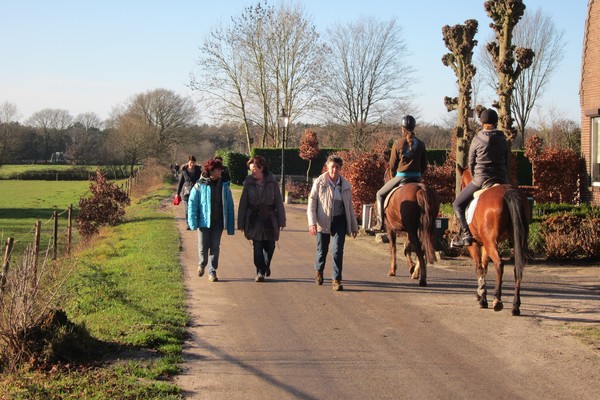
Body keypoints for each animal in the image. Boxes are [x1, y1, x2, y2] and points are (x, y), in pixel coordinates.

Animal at [460, 166, 528, 316]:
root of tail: (508, 191)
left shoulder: (474, 244)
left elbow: (479, 267)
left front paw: (482, 296)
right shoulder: (485, 244)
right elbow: (484, 266)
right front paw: (482, 296)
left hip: (490, 242)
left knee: (499, 263)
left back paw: (497, 300)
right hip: (515, 240)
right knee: (517, 268)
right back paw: (515, 306)